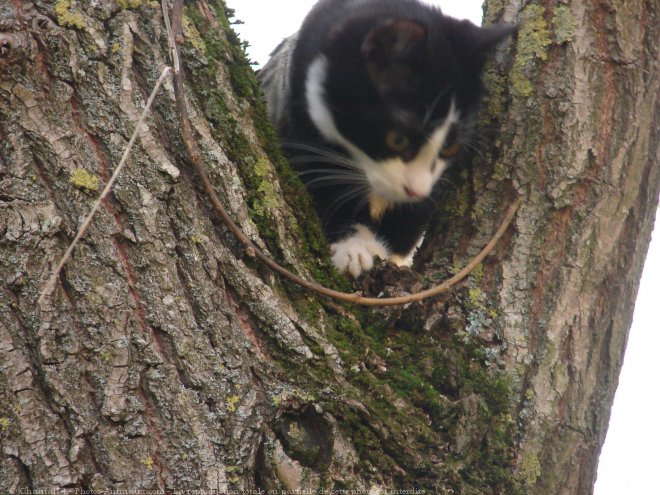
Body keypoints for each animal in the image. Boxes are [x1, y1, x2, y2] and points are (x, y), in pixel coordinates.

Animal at [260, 0, 516, 280]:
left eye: (450, 147)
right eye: (397, 140)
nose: (417, 190)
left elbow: (411, 216)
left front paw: (384, 251)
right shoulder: (299, 128)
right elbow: (323, 189)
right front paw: (352, 248)